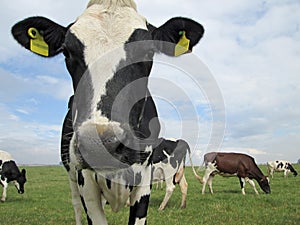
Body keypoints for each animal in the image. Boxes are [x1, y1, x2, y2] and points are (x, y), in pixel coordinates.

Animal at [11, 0, 204, 224]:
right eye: (67, 52)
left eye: (148, 52)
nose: (100, 144)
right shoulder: (85, 183)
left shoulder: (143, 182)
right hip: (72, 179)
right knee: (76, 207)